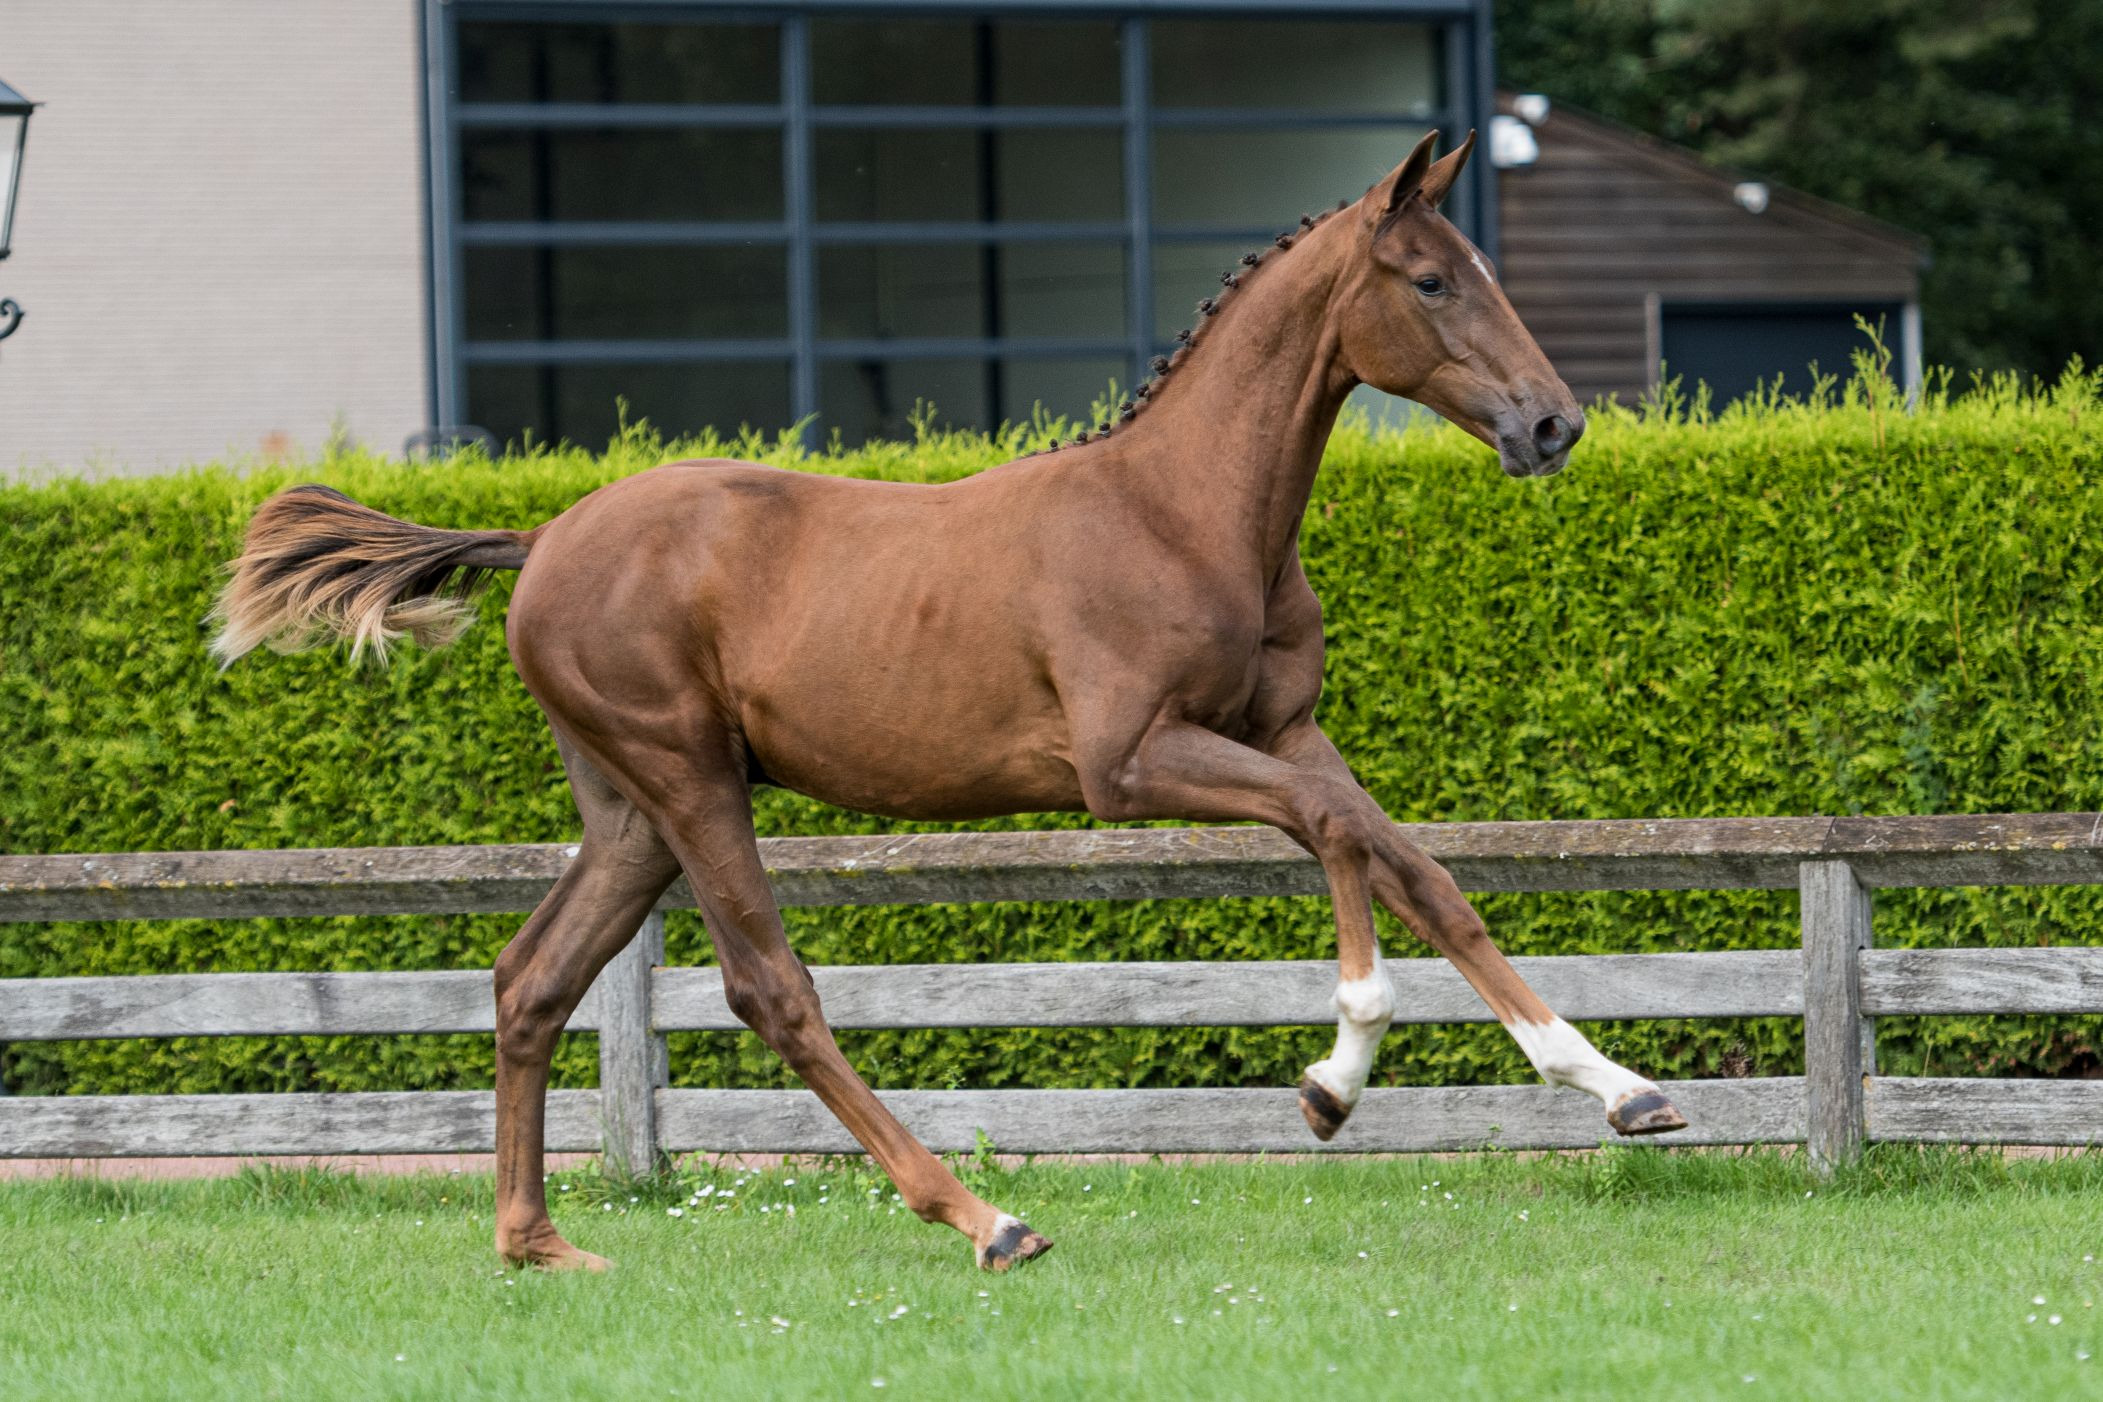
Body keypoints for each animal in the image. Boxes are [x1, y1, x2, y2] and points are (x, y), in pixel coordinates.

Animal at [211, 130, 1686, 1275]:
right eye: (1431, 280)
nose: (1552, 425)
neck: (1185, 511)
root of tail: (540, 539)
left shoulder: (1282, 729)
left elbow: (1418, 867)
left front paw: (1620, 1090)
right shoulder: (1127, 765)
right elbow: (1333, 834)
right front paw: (1334, 1077)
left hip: (630, 811)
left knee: (531, 978)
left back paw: (537, 1241)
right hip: (686, 776)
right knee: (768, 989)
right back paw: (985, 1218)